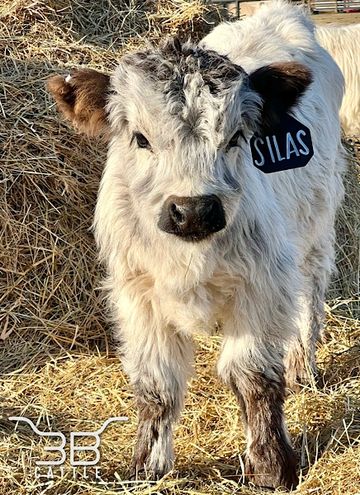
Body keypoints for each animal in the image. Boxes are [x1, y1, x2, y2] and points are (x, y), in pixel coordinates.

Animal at [47, 0, 346, 492]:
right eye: (140, 138)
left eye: (237, 137)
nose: (193, 210)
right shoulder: (136, 294)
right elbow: (156, 386)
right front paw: (146, 465)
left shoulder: (263, 286)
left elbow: (254, 378)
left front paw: (271, 466)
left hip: (316, 232)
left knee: (310, 300)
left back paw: (304, 368)